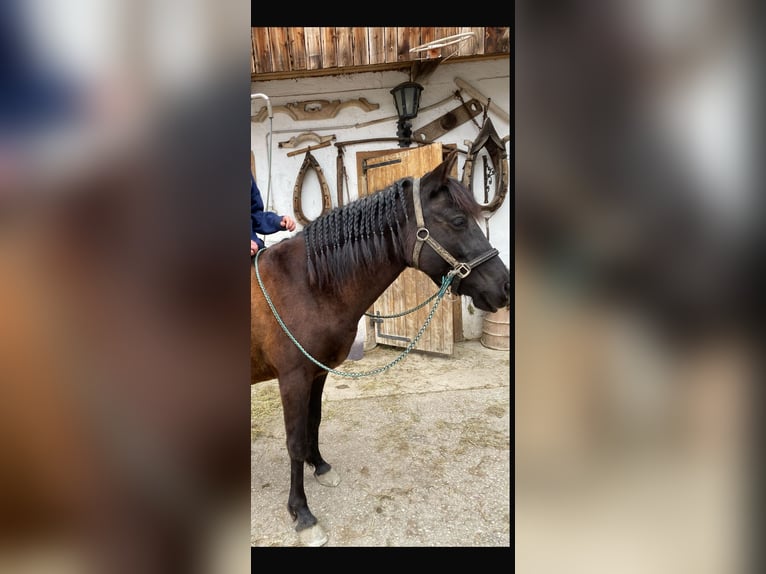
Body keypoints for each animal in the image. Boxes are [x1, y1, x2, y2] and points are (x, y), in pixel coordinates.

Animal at [251, 150, 511, 546]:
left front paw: (320, 466)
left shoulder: (317, 373)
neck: (307, 285)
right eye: (457, 220)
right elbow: (294, 441)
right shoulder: (293, 378)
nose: (505, 286)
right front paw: (302, 513)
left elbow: (314, 421)